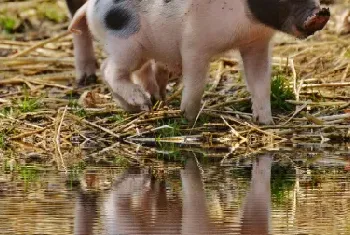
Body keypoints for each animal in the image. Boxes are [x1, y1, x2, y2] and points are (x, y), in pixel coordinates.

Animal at [67, 0, 330, 125]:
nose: (322, 12)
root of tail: (90, 6)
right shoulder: (194, 44)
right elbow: (195, 83)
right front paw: (188, 119)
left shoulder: (256, 44)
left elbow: (260, 83)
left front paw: (266, 122)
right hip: (125, 44)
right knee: (109, 70)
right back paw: (140, 101)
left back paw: (145, 105)